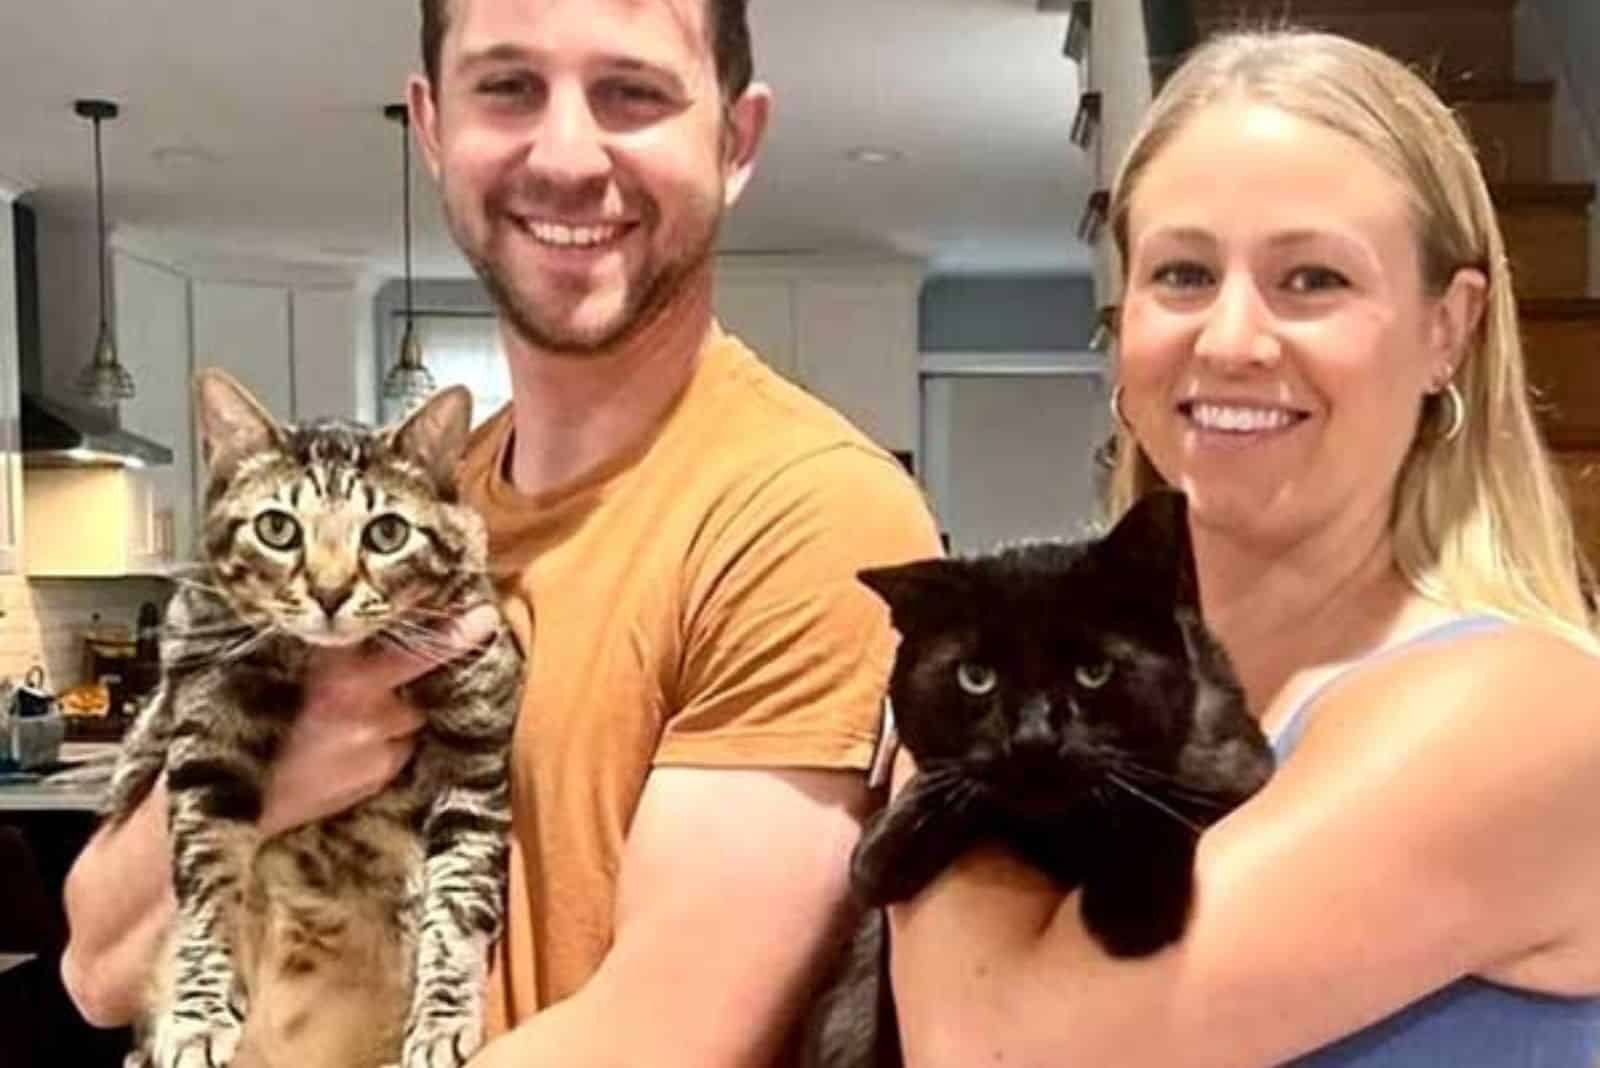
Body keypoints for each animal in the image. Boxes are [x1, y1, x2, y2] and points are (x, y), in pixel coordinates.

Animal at [101, 369, 524, 1068]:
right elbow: (207, 887)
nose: (329, 593)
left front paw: (442, 1021)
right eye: (277, 528)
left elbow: (460, 903)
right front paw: (197, 1014)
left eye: (386, 533)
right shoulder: (209, 736)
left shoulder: (474, 749)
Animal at [806, 492, 1280, 1068]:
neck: (1059, 831)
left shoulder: (1237, 768)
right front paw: (884, 849)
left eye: (1094, 671)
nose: (1033, 737)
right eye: (976, 677)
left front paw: (1132, 910)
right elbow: (951, 788)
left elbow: (1156, 801)